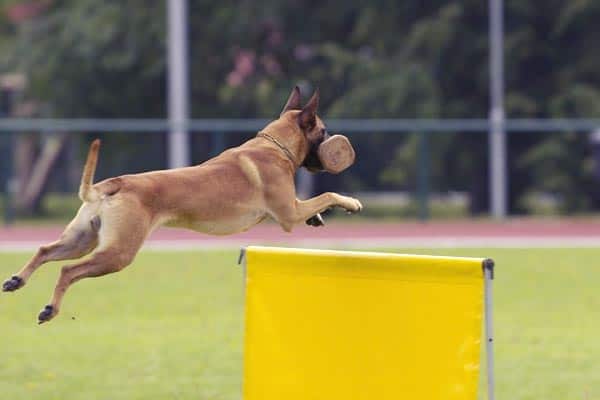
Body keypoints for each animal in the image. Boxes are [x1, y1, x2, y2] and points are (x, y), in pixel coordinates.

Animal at [1, 86, 360, 322]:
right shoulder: (288, 213)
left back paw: (17, 280)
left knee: (45, 250)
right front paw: (350, 202)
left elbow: (316, 203)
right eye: (323, 130)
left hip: (81, 239)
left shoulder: (292, 208)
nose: (334, 149)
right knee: (68, 270)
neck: (274, 146)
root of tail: (111, 185)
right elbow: (326, 196)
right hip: (117, 253)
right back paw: (50, 309)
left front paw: (319, 219)